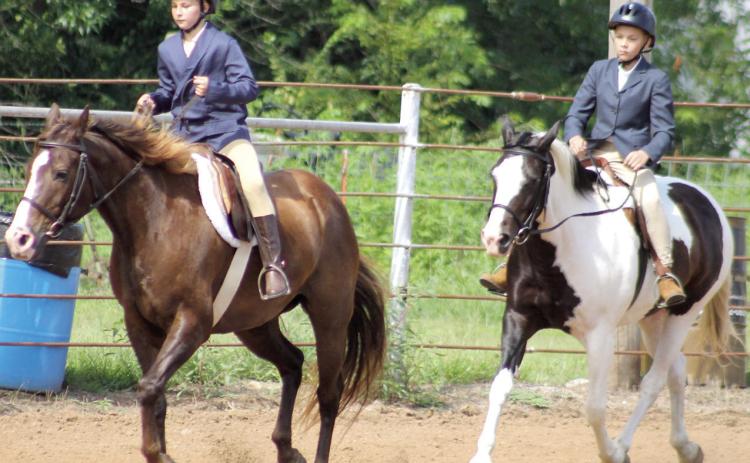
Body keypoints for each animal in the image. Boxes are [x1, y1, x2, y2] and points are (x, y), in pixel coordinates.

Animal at [4, 105, 387, 463]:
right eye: (28, 170)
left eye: (61, 173)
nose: (18, 238)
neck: (155, 221)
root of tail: (326, 198)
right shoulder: (138, 323)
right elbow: (155, 394)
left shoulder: (192, 322)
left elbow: (149, 387)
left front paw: (160, 454)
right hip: (255, 325)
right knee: (292, 363)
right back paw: (286, 449)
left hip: (330, 318)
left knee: (328, 394)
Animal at [472, 120, 734, 463]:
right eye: (494, 175)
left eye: (531, 180)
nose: (494, 239)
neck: (559, 252)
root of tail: (707, 202)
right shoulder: (517, 318)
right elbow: (499, 387)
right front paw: (481, 454)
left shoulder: (601, 335)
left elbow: (595, 407)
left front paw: (612, 453)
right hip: (652, 319)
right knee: (675, 371)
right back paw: (686, 447)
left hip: (683, 313)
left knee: (654, 381)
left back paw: (624, 445)